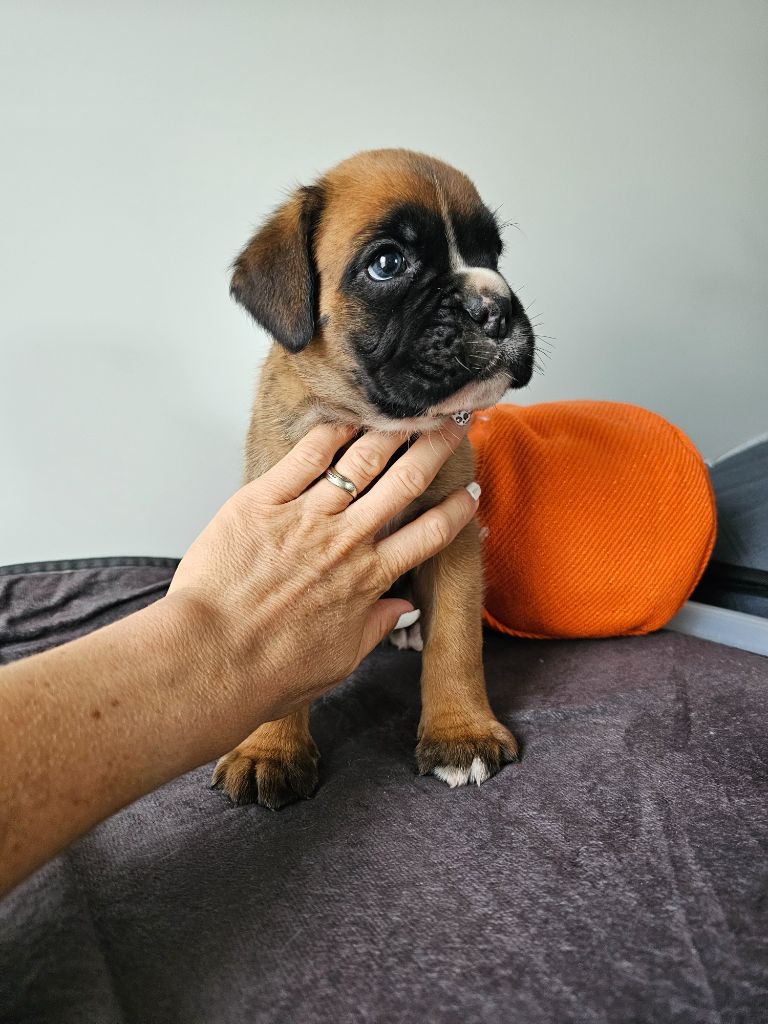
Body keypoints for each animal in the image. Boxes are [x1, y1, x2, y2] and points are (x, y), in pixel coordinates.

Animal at [212, 149, 534, 808]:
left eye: (492, 255)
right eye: (388, 263)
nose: (495, 307)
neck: (376, 425)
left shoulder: (454, 536)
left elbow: (456, 641)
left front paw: (460, 733)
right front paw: (268, 749)